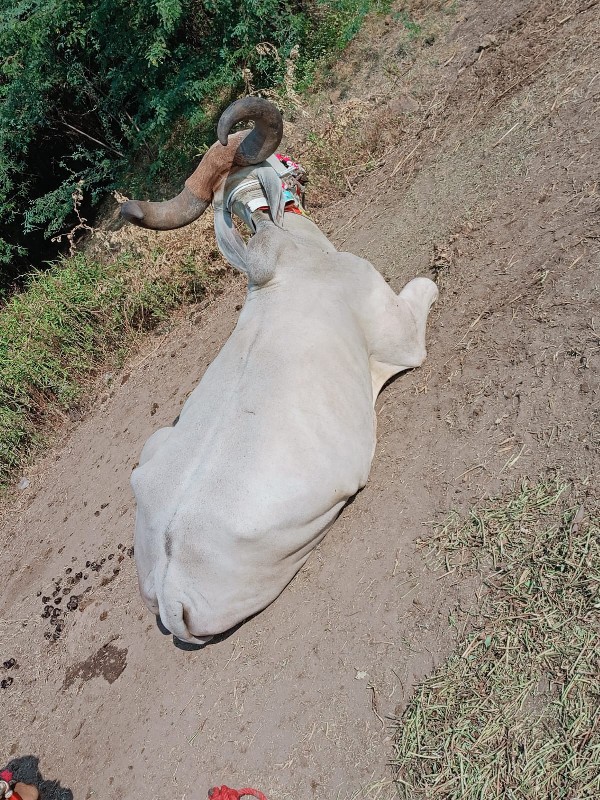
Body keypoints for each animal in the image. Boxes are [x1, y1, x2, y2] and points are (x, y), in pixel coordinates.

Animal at [122, 97, 436, 644]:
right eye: (278, 159)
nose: (300, 167)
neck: (285, 259)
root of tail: (170, 595)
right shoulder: (402, 337)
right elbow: (426, 285)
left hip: (156, 440)